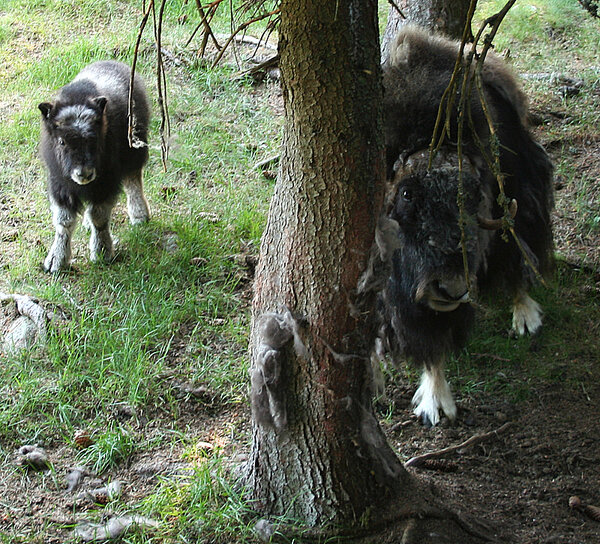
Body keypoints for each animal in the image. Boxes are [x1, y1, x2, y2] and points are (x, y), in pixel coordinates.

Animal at [38, 60, 150, 272]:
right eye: (62, 141)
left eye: (94, 138)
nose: (84, 174)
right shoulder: (60, 185)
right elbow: (64, 222)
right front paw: (55, 261)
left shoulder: (105, 184)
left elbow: (99, 216)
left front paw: (102, 253)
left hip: (134, 149)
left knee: (133, 180)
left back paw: (140, 217)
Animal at [380, 25, 552, 424]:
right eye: (407, 194)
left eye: (473, 194)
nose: (453, 289)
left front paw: (435, 402)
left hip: (520, 200)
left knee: (518, 255)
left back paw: (525, 316)